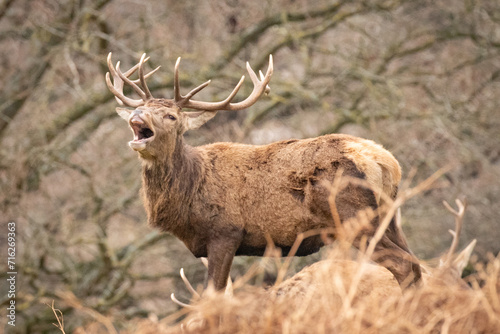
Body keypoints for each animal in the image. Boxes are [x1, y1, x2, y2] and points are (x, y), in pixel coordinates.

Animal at [105, 51, 422, 290]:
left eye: (171, 116)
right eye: (144, 107)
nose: (137, 115)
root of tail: (387, 163)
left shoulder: (225, 232)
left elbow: (210, 297)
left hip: (352, 215)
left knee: (404, 265)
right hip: (390, 217)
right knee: (417, 264)